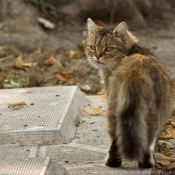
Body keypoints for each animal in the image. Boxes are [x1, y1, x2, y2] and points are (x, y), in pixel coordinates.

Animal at [84, 18, 174, 168]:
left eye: (109, 49)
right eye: (93, 47)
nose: (97, 56)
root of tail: (135, 66)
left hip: (115, 108)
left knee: (115, 139)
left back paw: (112, 162)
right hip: (150, 114)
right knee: (145, 139)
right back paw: (146, 163)